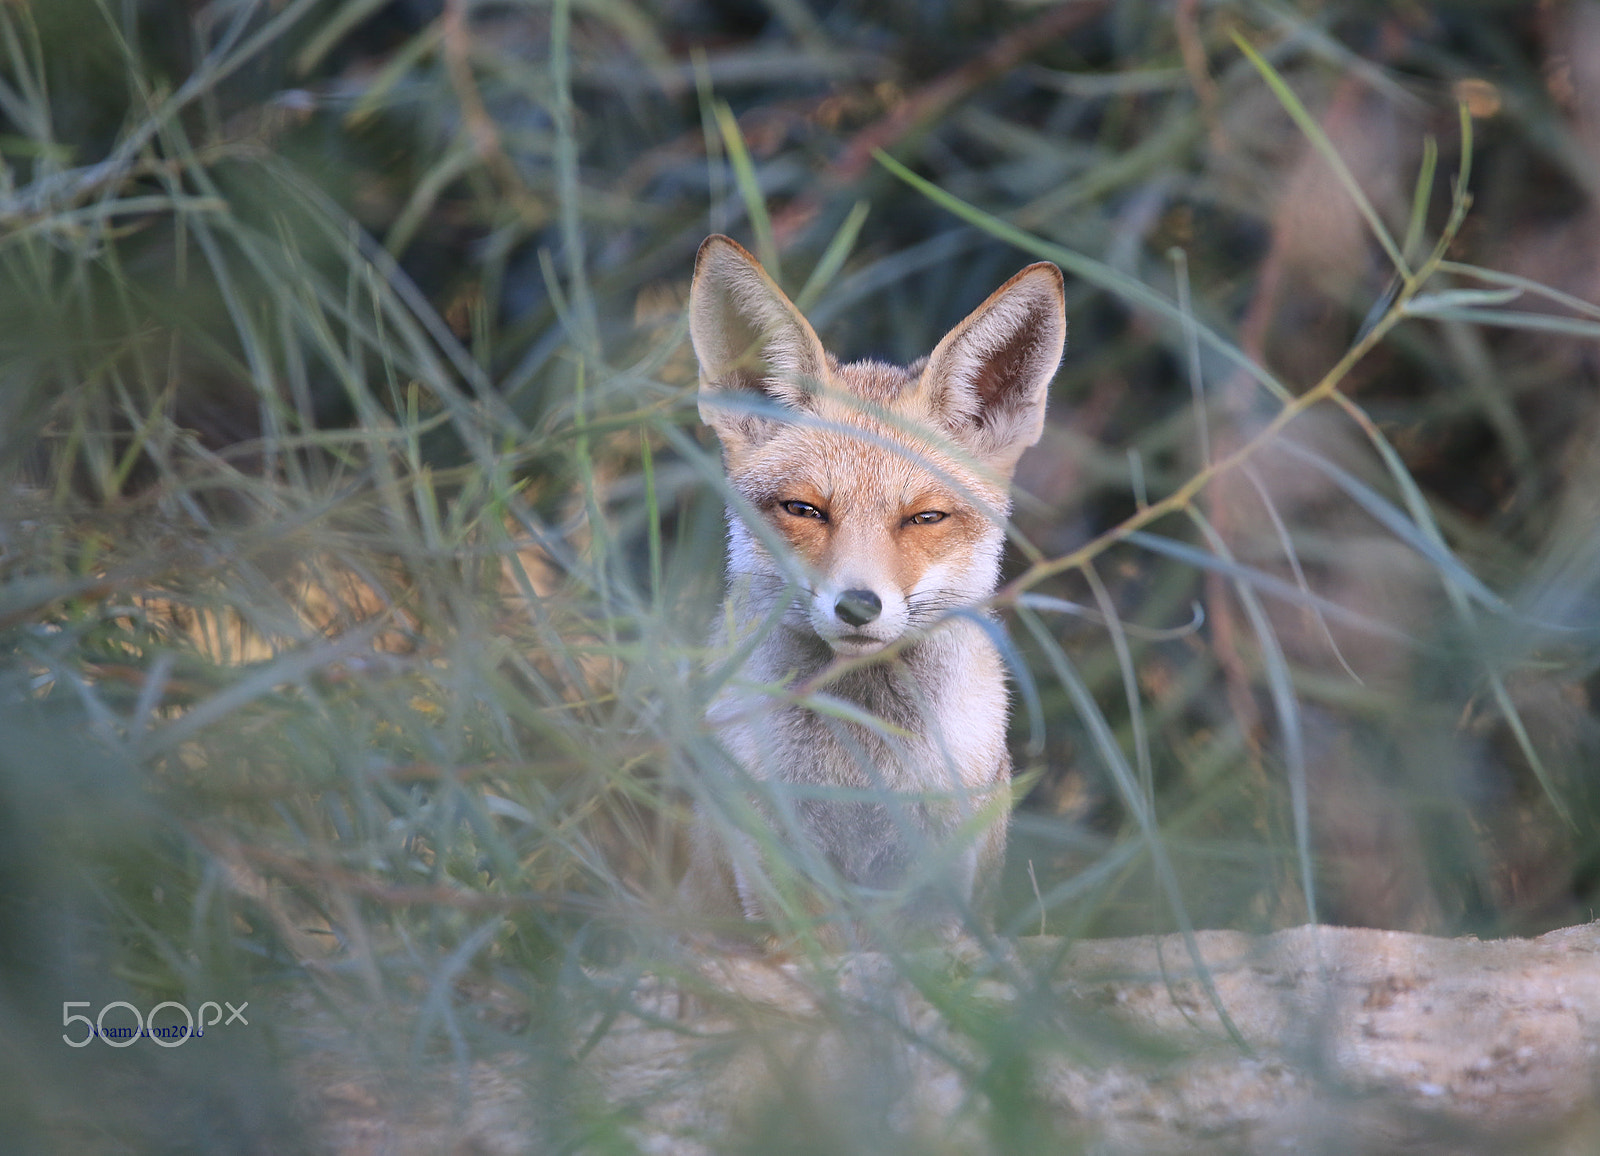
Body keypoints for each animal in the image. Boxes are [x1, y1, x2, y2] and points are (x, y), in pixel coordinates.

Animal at [683, 234, 1065, 934]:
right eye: (804, 510)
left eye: (925, 518)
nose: (858, 606)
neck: (861, 776)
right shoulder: (775, 864)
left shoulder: (942, 874)